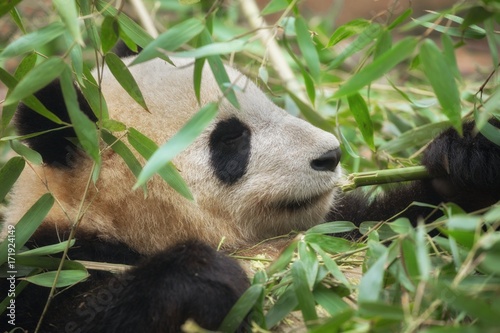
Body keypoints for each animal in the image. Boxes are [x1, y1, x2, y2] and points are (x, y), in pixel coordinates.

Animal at [0, 51, 500, 330]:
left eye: (274, 103)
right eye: (230, 139)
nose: (331, 154)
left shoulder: (332, 231)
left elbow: (407, 230)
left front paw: (469, 159)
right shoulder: (50, 260)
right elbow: (68, 317)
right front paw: (204, 278)